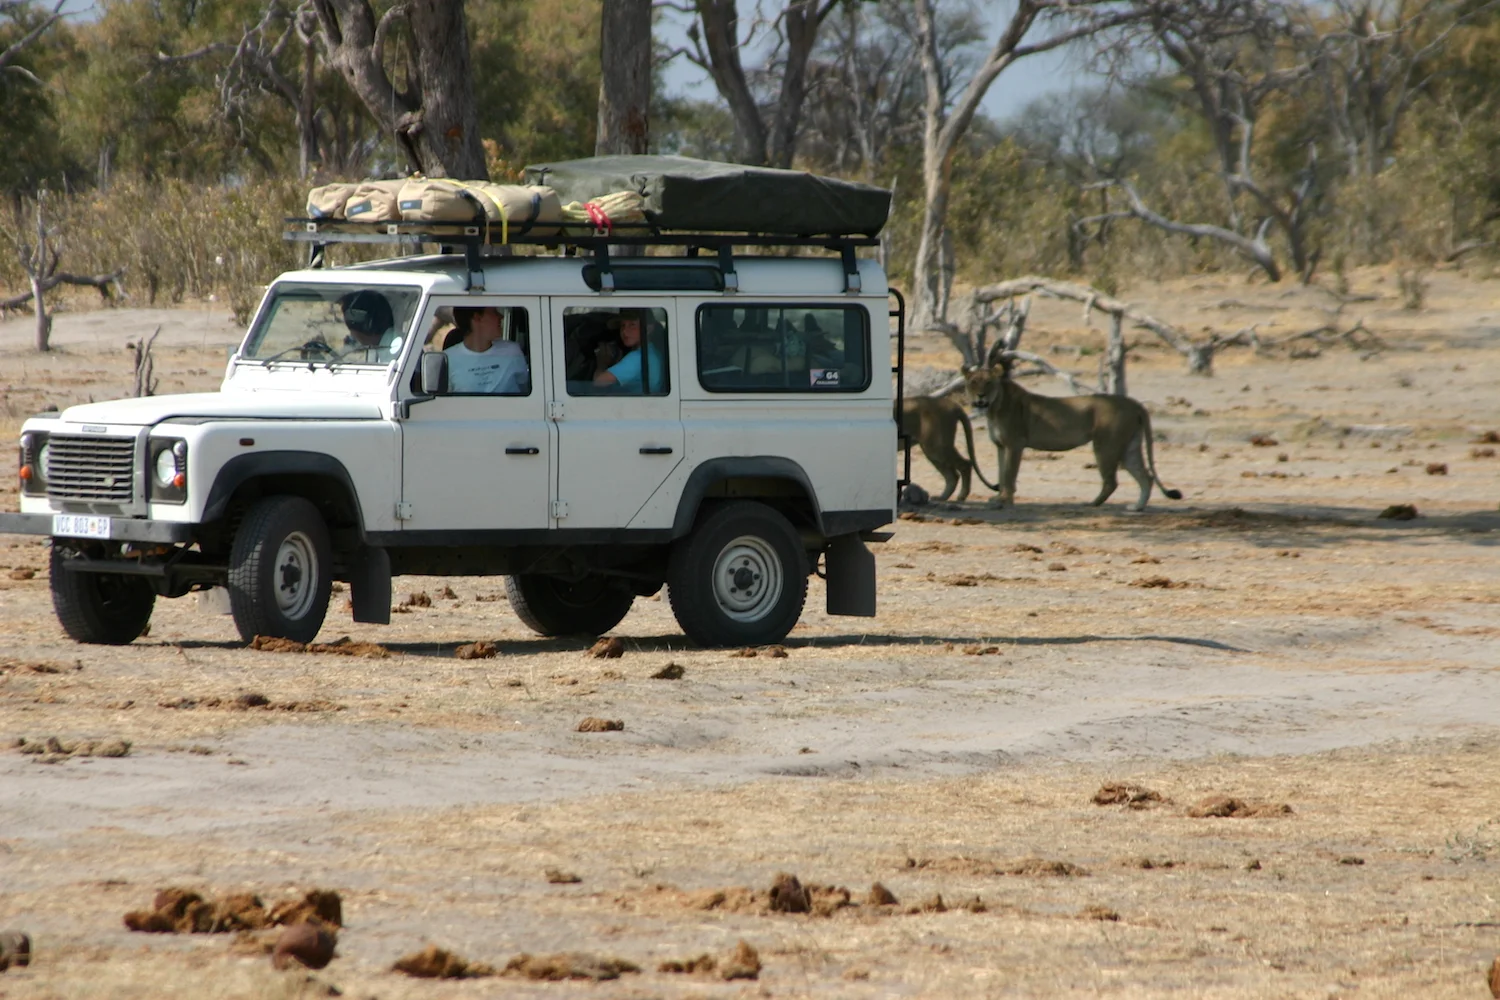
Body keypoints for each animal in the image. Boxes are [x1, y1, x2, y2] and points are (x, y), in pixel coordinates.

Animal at [963, 362, 1182, 511]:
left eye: (988, 383)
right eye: (973, 383)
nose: (980, 396)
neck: (994, 408)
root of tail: (1135, 403)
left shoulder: (1015, 445)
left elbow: (1009, 474)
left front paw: (1005, 500)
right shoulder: (1001, 446)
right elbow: (1001, 473)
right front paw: (998, 498)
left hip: (1106, 445)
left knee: (1112, 481)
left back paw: (1092, 503)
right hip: (1130, 446)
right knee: (1146, 476)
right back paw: (1137, 507)